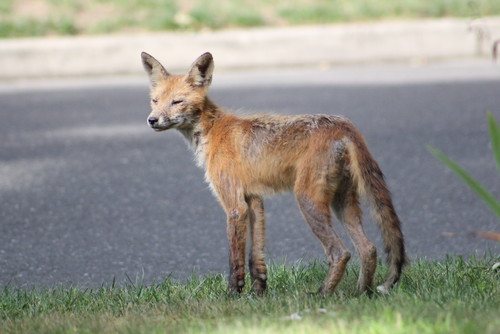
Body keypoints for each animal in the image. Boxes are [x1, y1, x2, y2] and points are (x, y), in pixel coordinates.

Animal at [141, 51, 406, 294]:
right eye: (155, 100)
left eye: (177, 102)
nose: (152, 120)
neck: (213, 130)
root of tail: (344, 125)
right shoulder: (254, 200)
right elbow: (255, 258)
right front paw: (258, 293)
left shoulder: (235, 205)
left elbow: (235, 261)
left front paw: (232, 295)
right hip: (343, 202)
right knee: (368, 249)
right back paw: (362, 294)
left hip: (308, 201)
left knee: (341, 253)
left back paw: (322, 295)